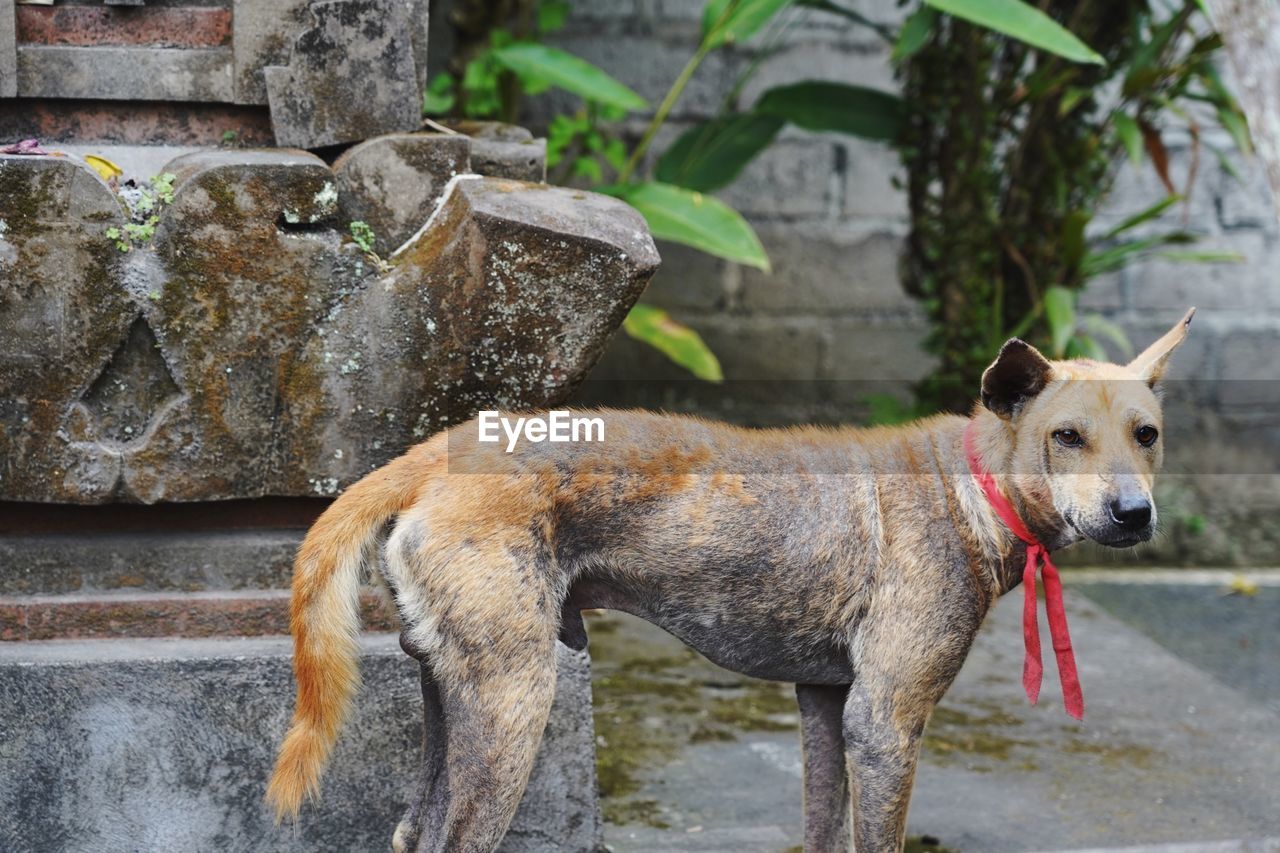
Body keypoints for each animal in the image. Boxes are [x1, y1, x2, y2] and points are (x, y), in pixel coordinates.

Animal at [264, 308, 1192, 845]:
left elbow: (822, 829)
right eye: (1066, 436)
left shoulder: (826, 705)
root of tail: (430, 453)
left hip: (454, 699)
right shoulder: (885, 722)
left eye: (1146, 433)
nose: (1133, 513)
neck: (968, 484)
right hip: (514, 701)